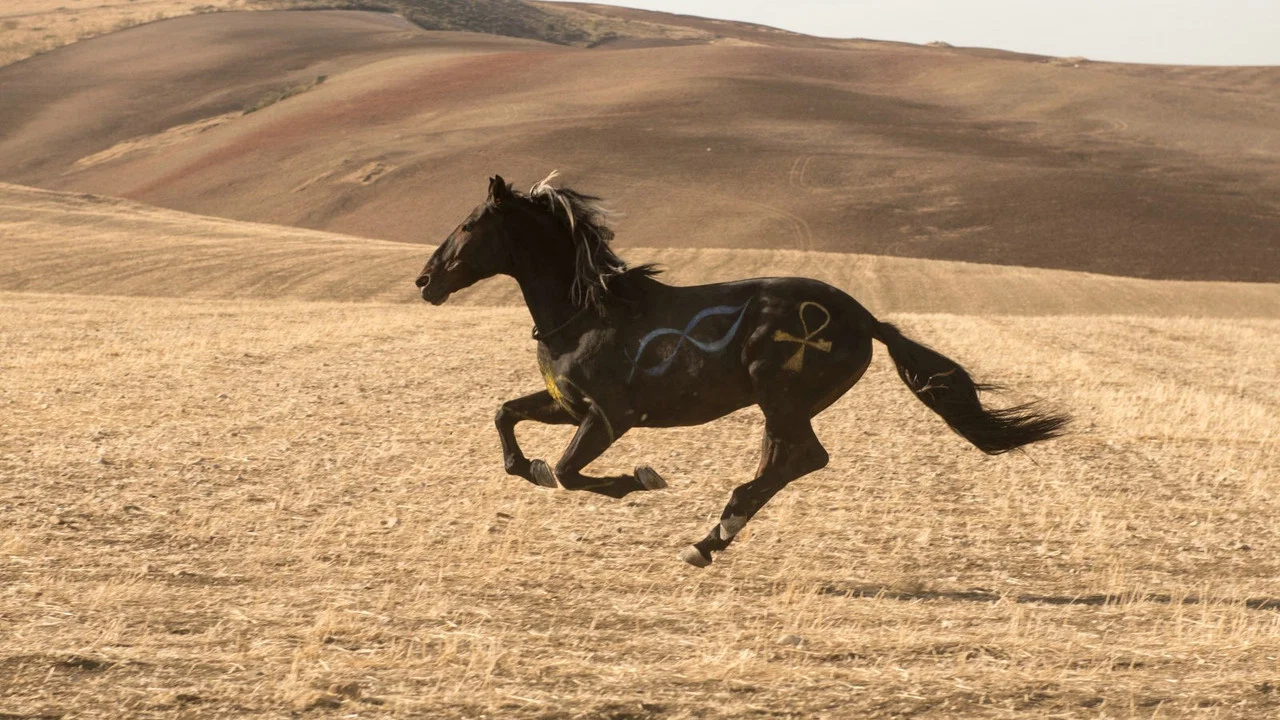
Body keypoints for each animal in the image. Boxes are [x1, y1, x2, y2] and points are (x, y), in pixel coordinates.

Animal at [415, 173, 1069, 567]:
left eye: (470, 224)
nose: (425, 281)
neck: (586, 311)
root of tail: (865, 318)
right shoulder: (566, 405)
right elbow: (508, 422)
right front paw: (526, 463)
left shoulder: (610, 416)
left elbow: (566, 473)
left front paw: (642, 479)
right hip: (777, 404)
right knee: (785, 459)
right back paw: (712, 537)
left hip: (780, 394)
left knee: (801, 457)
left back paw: (708, 540)